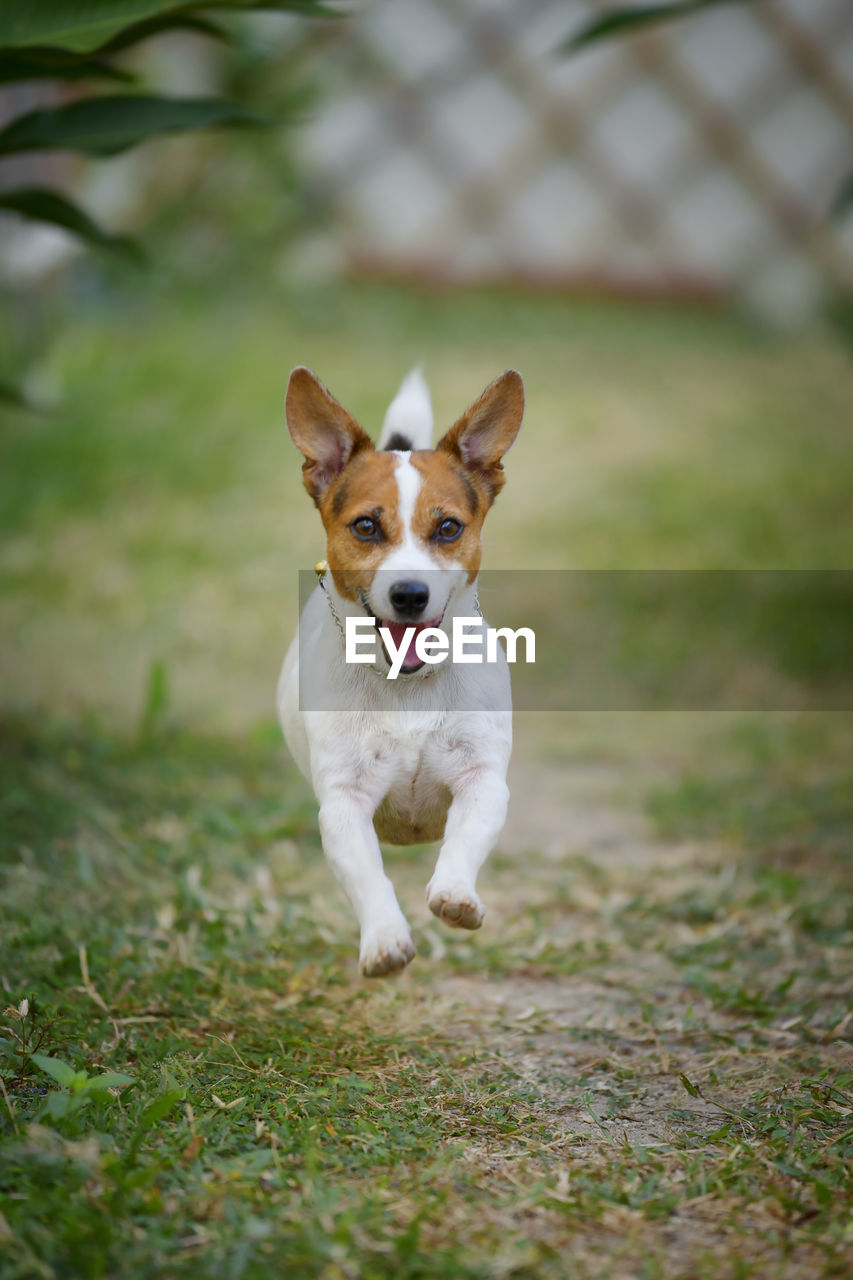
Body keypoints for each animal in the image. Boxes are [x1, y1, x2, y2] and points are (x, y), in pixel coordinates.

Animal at [275, 366, 522, 972]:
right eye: (366, 526)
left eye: (449, 528)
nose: (410, 594)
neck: (406, 685)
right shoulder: (344, 804)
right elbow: (366, 874)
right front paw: (384, 938)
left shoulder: (482, 780)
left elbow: (465, 839)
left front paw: (456, 893)